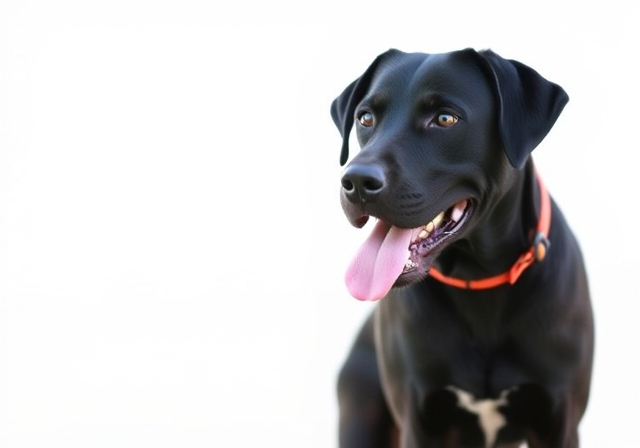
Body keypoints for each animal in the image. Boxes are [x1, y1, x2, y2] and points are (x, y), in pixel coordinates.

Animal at [332, 49, 592, 448]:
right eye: (365, 118)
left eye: (444, 118)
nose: (356, 181)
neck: (479, 280)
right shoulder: (419, 422)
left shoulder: (559, 420)